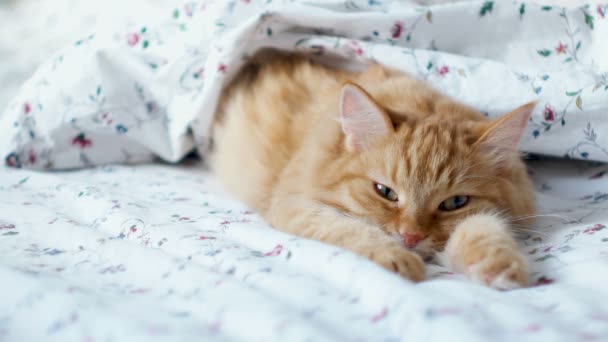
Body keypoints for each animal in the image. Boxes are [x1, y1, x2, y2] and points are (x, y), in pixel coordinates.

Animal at [210, 50, 536, 290]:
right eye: (385, 192)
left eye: (455, 202)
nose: (410, 238)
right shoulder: (297, 204)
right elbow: (354, 230)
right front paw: (397, 258)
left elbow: (484, 230)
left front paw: (499, 265)